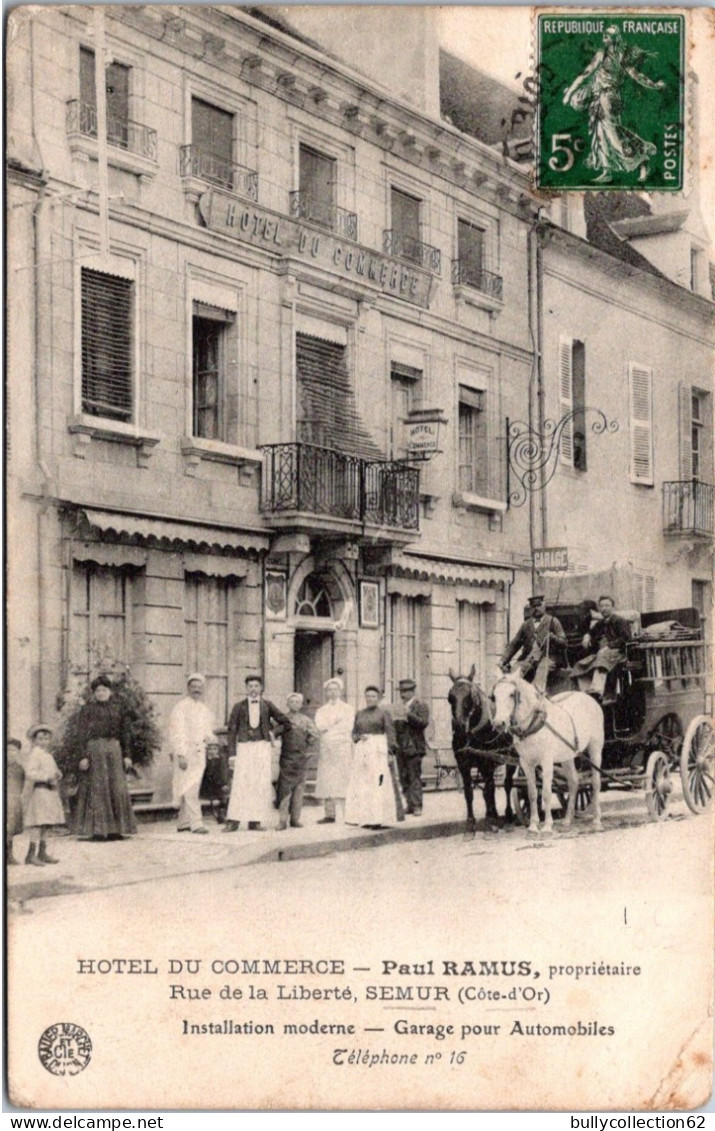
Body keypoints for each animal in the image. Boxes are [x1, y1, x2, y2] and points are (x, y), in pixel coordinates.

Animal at [448, 660, 513, 832]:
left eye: (470, 696)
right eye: (450, 697)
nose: (459, 726)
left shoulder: (486, 763)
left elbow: (488, 791)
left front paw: (491, 820)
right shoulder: (463, 765)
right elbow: (469, 792)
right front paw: (471, 821)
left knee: (508, 784)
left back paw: (508, 813)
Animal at [490, 669, 601, 841]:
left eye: (511, 694)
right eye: (494, 696)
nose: (498, 723)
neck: (534, 723)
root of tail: (589, 698)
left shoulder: (546, 761)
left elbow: (547, 793)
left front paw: (547, 827)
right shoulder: (526, 763)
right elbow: (532, 794)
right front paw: (533, 827)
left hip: (595, 748)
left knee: (595, 783)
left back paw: (597, 821)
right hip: (567, 756)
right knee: (574, 782)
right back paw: (567, 820)